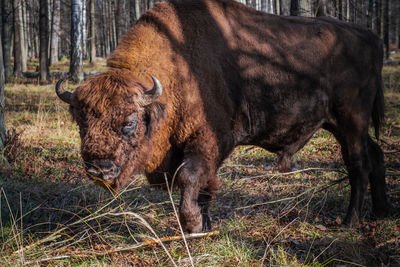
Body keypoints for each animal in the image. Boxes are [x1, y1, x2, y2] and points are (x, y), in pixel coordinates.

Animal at [55, 0, 390, 233]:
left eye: (129, 122)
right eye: (81, 123)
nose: (98, 169)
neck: (176, 70)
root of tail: (372, 37)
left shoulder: (209, 141)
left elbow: (190, 178)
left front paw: (192, 225)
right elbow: (204, 187)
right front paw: (205, 226)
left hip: (351, 121)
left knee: (358, 165)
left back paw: (349, 222)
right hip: (340, 125)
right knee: (376, 155)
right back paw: (381, 212)